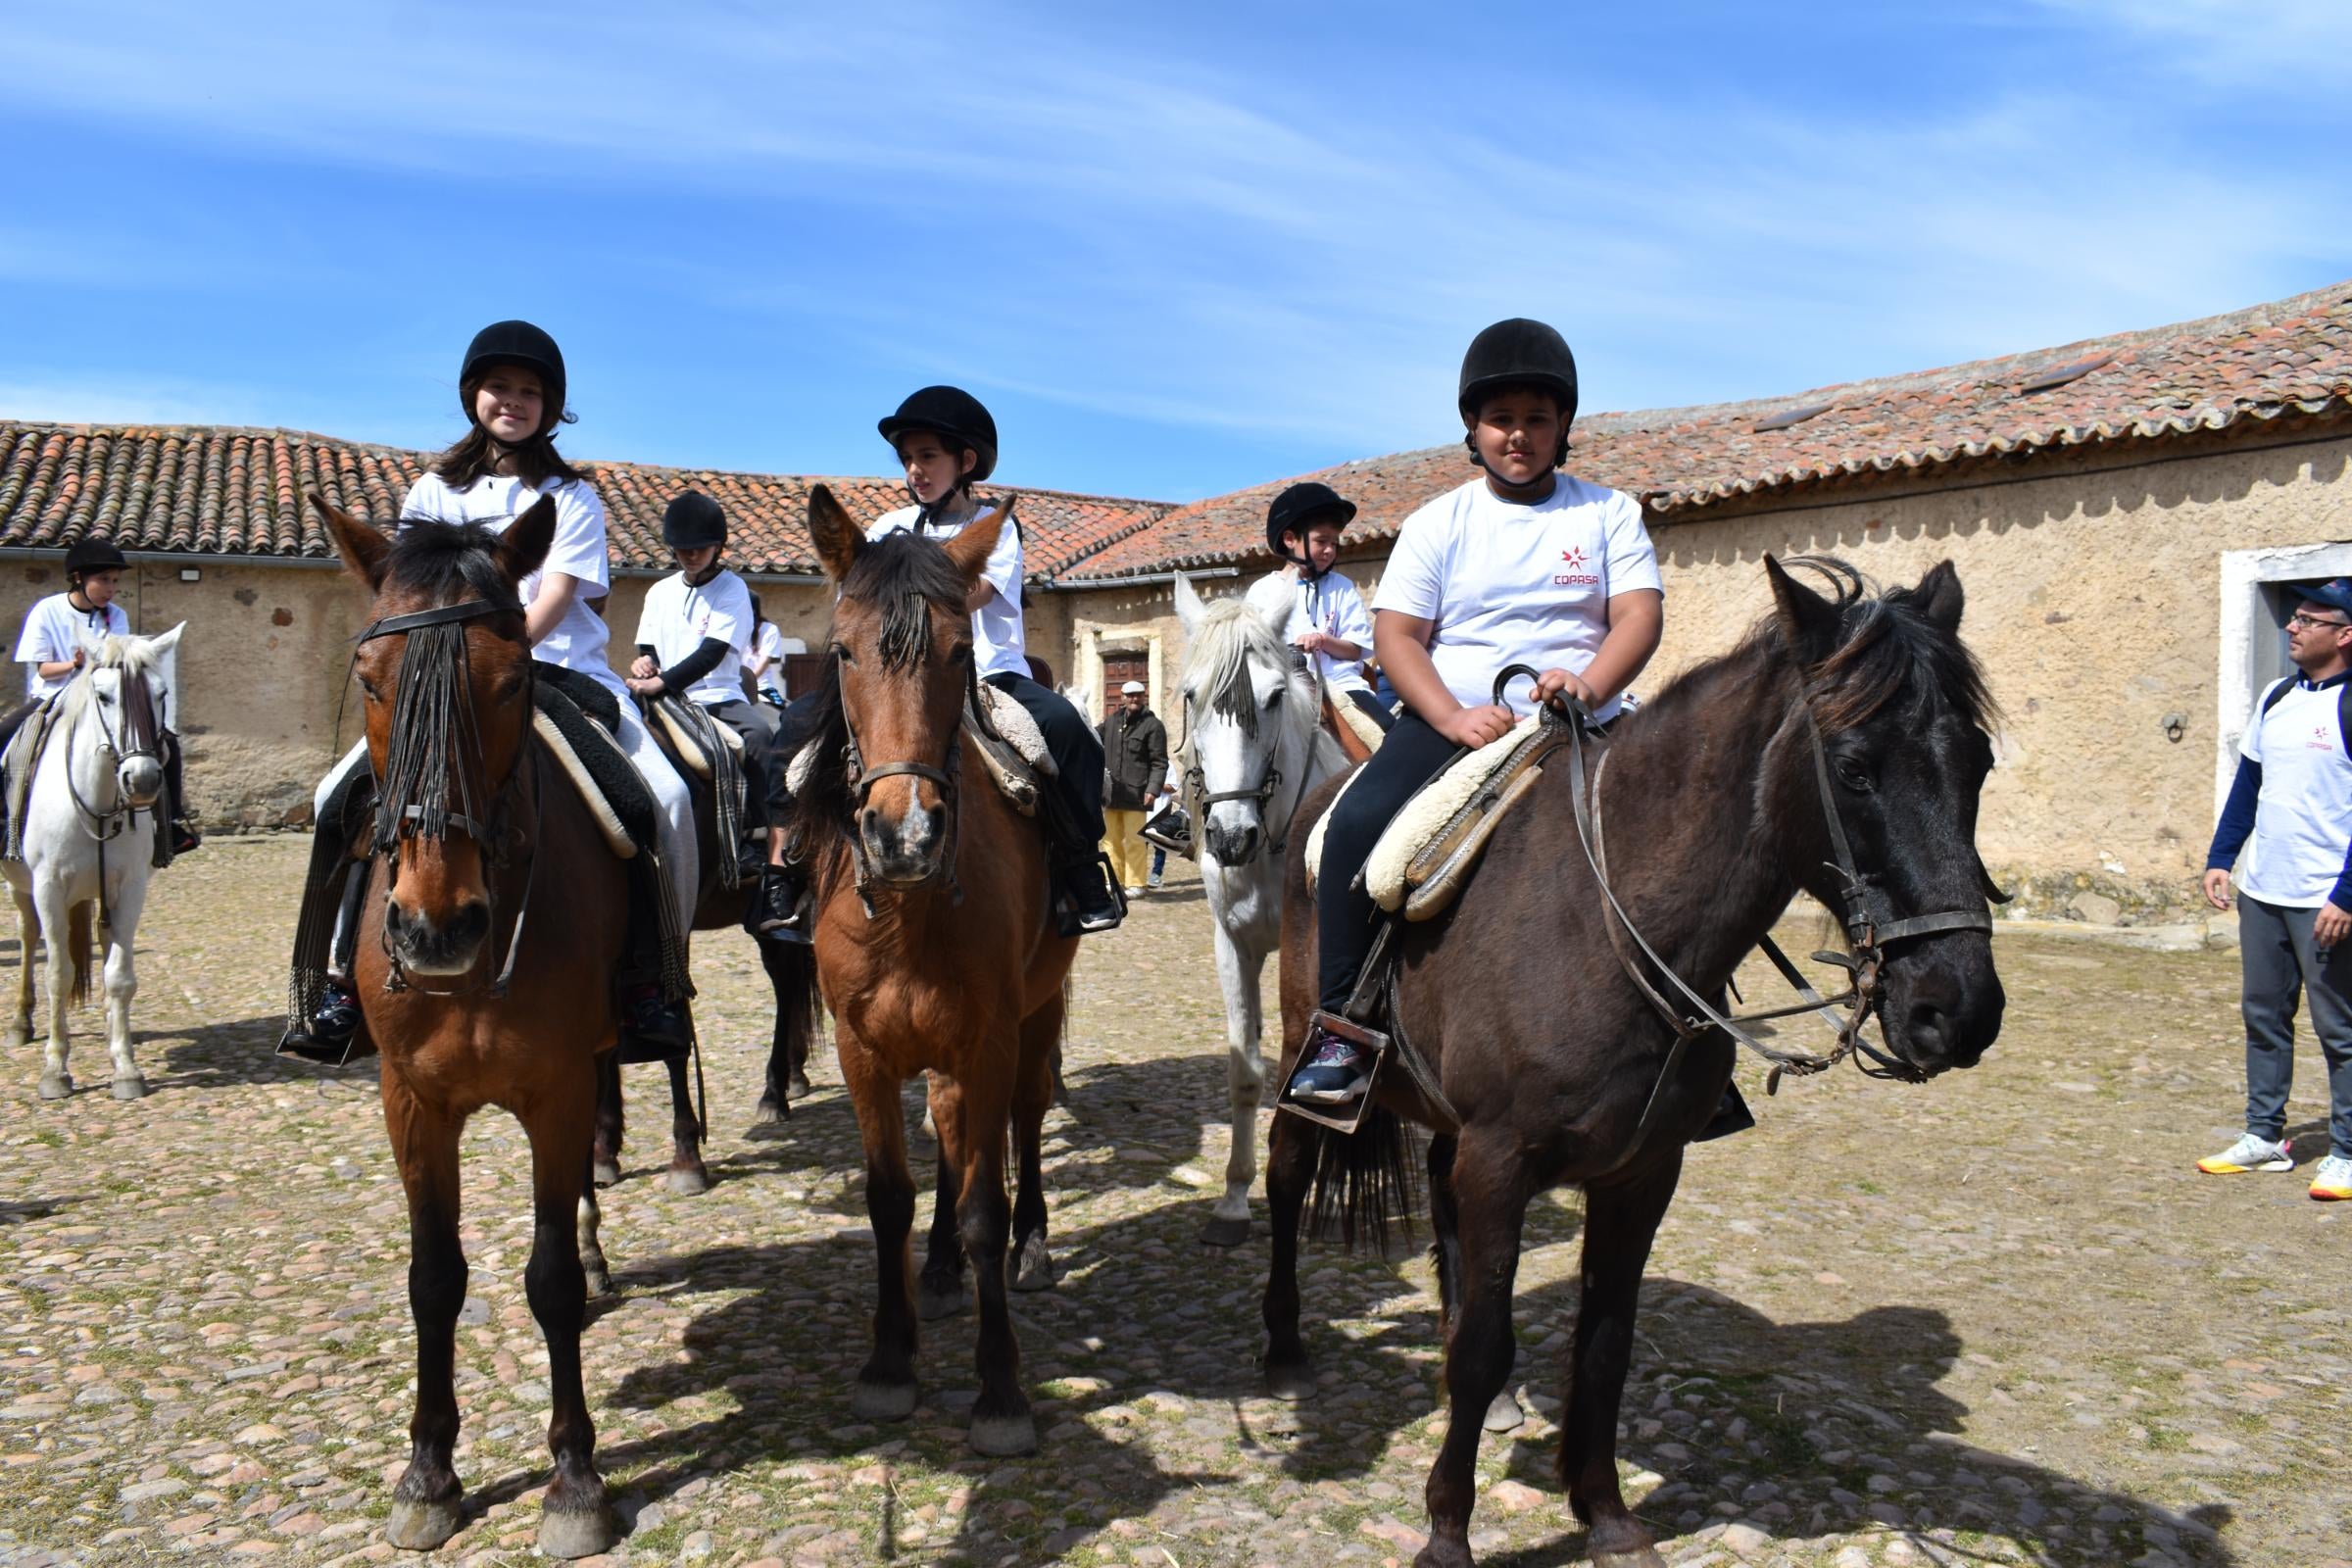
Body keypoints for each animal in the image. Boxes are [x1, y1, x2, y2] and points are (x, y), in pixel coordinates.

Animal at [2, 625, 183, 1104]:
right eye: (103, 696)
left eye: (161, 693)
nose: (142, 781)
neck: (98, 801)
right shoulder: (48, 886)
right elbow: (58, 973)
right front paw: (55, 1071)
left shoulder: (130, 886)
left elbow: (118, 976)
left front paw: (125, 1067)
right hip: (19, 885)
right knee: (29, 937)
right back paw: (21, 1022)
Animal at [326, 493, 635, 1560]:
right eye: (370, 681)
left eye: (511, 682)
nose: (434, 928)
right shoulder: (411, 1101)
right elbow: (434, 1276)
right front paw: (427, 1470)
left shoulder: (557, 1088)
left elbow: (550, 1282)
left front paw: (575, 1480)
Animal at [790, 486, 1082, 1457]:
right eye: (843, 651)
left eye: (960, 652)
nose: (905, 834)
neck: (912, 911)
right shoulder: (863, 1052)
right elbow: (890, 1198)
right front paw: (889, 1361)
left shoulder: (989, 1038)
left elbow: (987, 1197)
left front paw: (1001, 1390)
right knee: (951, 1133)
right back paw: (944, 1269)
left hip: (1035, 1014)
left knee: (1022, 1124)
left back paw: (1031, 1246)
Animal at [1171, 575, 1354, 1250]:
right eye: (1191, 695)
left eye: (1274, 696)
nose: (1230, 836)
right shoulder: (1234, 945)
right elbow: (1246, 1070)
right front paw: (1232, 1200)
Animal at [1270, 557, 2003, 1560]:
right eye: (1855, 770)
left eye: (1980, 764)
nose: (1957, 1012)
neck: (1606, 919)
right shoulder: (1502, 1160)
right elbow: (1486, 1345)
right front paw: (1448, 1529)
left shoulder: (1642, 1172)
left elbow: (1605, 1343)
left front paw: (1606, 1514)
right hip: (1300, 1048)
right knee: (1286, 1173)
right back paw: (1281, 1345)